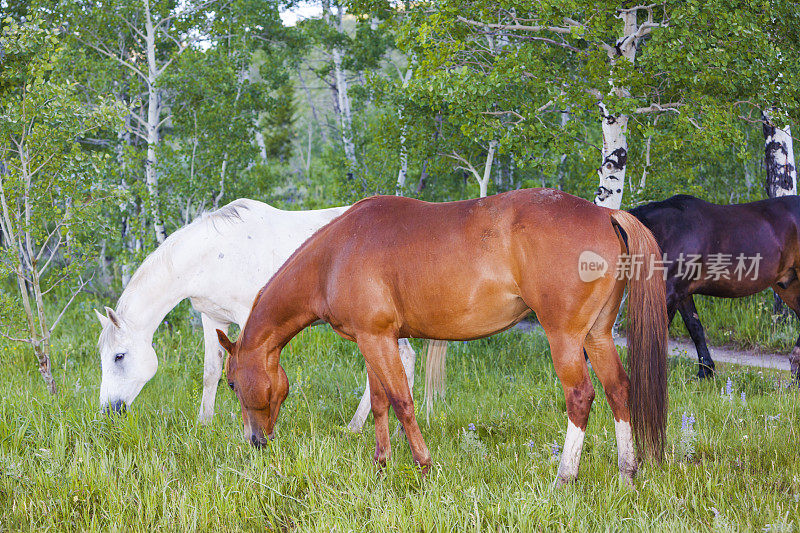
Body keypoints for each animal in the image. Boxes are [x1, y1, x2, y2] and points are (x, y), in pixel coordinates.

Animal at [96, 200, 416, 428]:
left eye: (119, 356)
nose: (108, 411)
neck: (213, 255)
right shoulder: (213, 318)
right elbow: (211, 372)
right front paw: (204, 423)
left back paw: (356, 426)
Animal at [217, 189, 668, 484]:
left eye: (232, 383)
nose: (255, 442)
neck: (335, 254)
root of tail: (605, 214)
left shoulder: (378, 339)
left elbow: (401, 401)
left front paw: (423, 465)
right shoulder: (371, 340)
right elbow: (379, 403)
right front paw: (382, 466)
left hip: (566, 339)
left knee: (581, 396)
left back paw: (564, 477)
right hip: (597, 337)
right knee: (618, 389)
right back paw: (627, 473)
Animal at [632, 193, 800, 380]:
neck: (665, 232)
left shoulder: (670, 293)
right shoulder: (682, 294)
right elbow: (695, 327)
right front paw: (705, 371)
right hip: (788, 286)